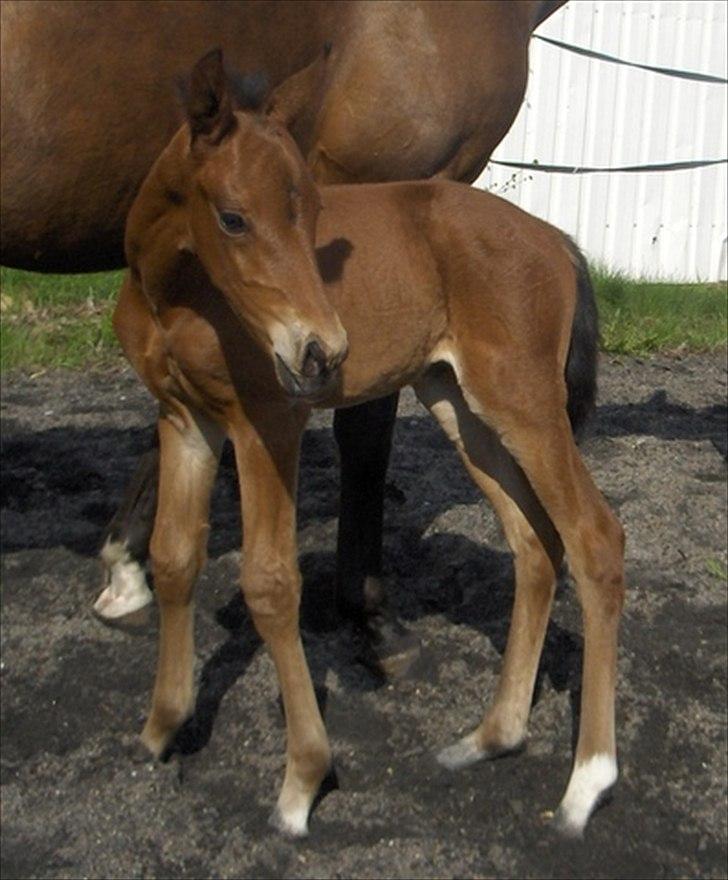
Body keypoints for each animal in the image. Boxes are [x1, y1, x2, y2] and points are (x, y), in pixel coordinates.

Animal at [118, 53, 624, 840]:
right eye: (233, 217)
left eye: (311, 212)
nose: (322, 352)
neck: (177, 296)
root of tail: (557, 242)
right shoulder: (184, 420)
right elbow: (174, 560)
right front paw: (161, 728)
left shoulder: (267, 422)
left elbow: (271, 585)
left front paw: (301, 783)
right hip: (463, 407)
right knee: (536, 544)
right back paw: (493, 736)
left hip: (526, 405)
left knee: (595, 537)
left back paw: (587, 783)